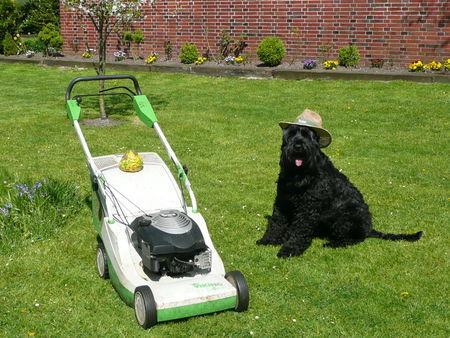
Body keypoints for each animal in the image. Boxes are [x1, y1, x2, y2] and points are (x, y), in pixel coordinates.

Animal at [256, 123, 422, 258]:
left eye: (307, 135)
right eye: (291, 134)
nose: (298, 146)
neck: (300, 173)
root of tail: (369, 229)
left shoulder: (308, 208)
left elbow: (300, 230)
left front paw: (289, 249)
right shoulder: (282, 201)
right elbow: (276, 223)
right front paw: (269, 240)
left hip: (345, 218)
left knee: (353, 239)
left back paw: (333, 243)